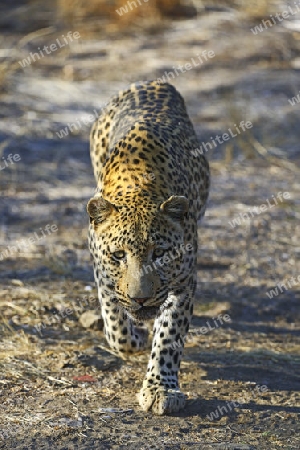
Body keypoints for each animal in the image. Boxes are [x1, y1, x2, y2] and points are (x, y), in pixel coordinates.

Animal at [86, 80, 209, 414]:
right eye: (118, 256)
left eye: (160, 253)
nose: (140, 299)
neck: (138, 188)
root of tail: (151, 81)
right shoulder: (102, 269)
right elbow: (114, 319)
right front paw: (133, 340)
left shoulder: (184, 280)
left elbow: (169, 334)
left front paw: (161, 389)